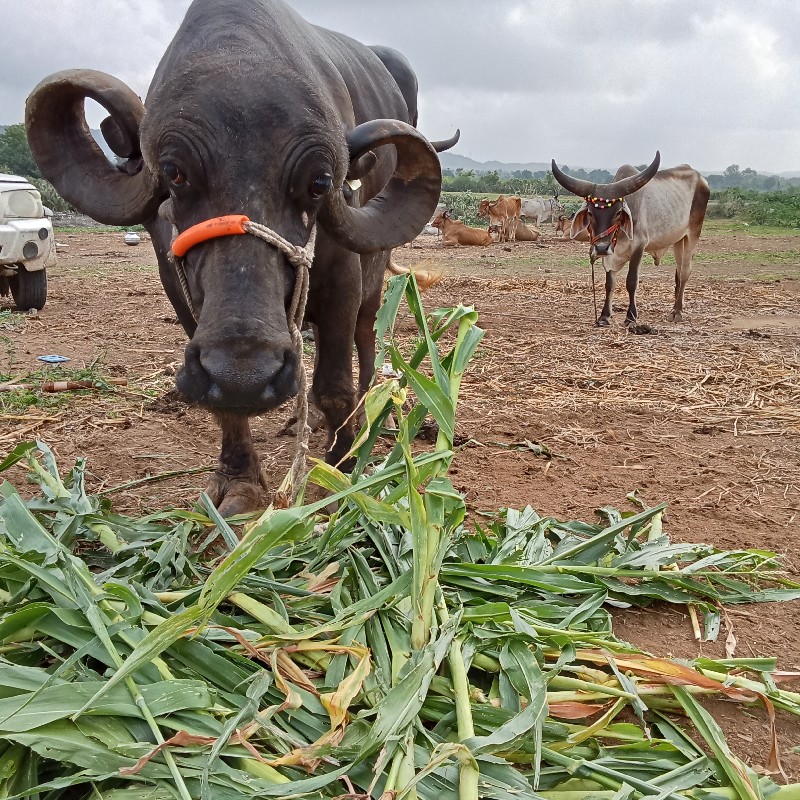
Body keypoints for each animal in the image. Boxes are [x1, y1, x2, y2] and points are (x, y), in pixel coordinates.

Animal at [28, 0, 456, 512]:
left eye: (319, 183)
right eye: (175, 173)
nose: (244, 375)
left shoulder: (343, 276)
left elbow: (334, 386)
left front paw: (341, 470)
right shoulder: (179, 289)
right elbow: (226, 408)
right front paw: (239, 481)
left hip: (374, 279)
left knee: (366, 336)